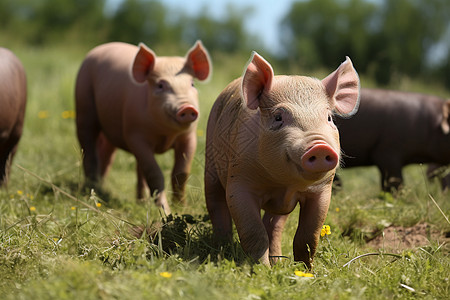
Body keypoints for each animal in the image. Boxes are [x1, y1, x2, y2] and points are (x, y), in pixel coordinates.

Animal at [75, 40, 211, 213]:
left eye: (192, 84)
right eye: (160, 85)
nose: (187, 108)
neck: (166, 135)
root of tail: (101, 47)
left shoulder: (189, 138)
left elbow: (181, 174)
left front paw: (182, 208)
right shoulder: (135, 136)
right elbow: (155, 174)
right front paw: (166, 212)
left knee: (110, 156)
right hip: (83, 106)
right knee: (89, 149)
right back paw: (92, 189)